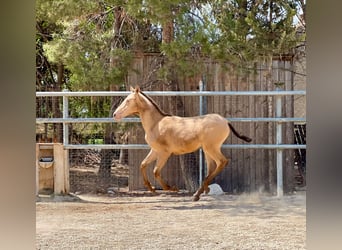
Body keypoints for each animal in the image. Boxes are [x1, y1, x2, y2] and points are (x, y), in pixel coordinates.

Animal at [113, 86, 251, 201]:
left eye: (128, 101)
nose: (115, 114)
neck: (156, 124)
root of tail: (226, 121)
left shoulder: (164, 152)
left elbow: (156, 171)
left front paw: (172, 188)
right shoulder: (155, 150)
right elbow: (143, 164)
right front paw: (151, 189)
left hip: (211, 148)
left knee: (222, 162)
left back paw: (198, 193)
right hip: (208, 150)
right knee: (211, 168)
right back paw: (200, 192)